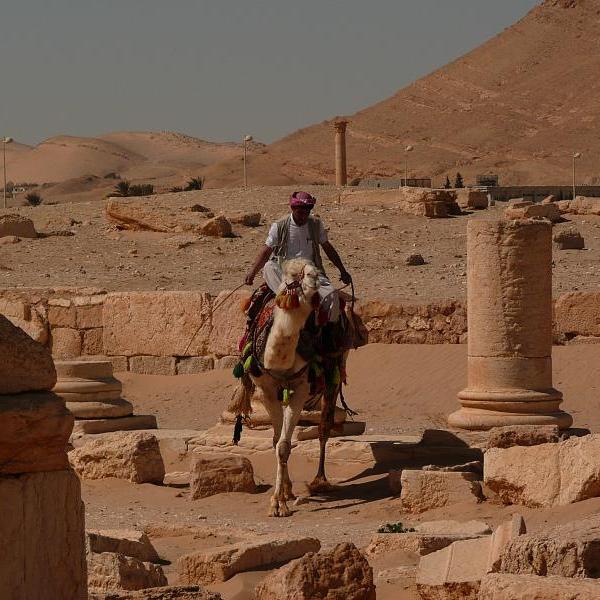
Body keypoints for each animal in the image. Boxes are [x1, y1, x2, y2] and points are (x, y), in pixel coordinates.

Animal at [233, 258, 350, 516]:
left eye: (315, 271)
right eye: (291, 276)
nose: (314, 279)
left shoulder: (301, 387)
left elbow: (284, 446)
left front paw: (279, 503)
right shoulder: (266, 389)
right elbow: (277, 442)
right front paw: (283, 494)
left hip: (335, 372)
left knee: (324, 427)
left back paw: (320, 480)